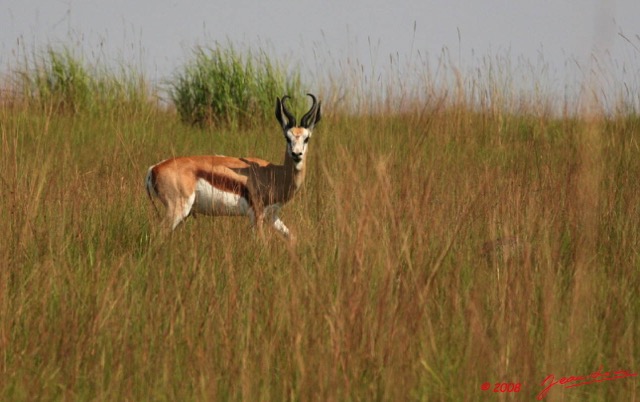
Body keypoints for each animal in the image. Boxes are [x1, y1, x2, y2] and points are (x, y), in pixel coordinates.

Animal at [144, 92, 320, 237]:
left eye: (307, 138)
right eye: (287, 137)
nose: (297, 154)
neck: (275, 174)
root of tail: (154, 168)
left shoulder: (272, 216)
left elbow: (291, 238)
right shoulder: (257, 215)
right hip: (178, 210)